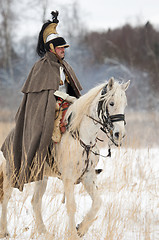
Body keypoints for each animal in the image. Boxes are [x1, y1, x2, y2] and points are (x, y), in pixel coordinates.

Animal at [0, 78, 130, 239]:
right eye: (111, 103)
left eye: (124, 104)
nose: (119, 134)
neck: (82, 135)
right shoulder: (68, 178)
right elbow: (71, 206)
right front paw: (73, 233)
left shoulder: (88, 176)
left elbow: (97, 202)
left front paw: (81, 228)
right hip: (11, 173)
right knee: (6, 198)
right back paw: (5, 231)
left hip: (41, 177)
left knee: (35, 201)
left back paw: (44, 232)